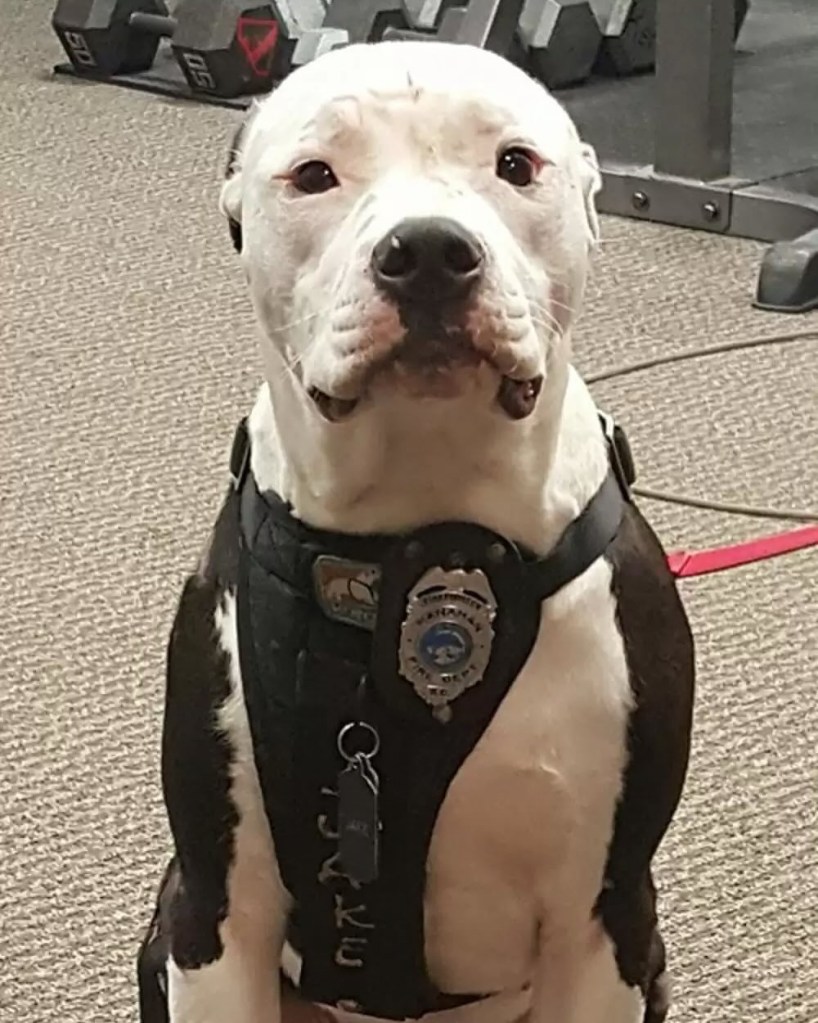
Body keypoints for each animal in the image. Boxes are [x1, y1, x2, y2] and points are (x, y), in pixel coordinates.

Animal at [137, 40, 694, 1023]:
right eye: (314, 175)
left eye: (516, 164)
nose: (430, 250)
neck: (423, 527)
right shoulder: (217, 909)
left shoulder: (606, 916)